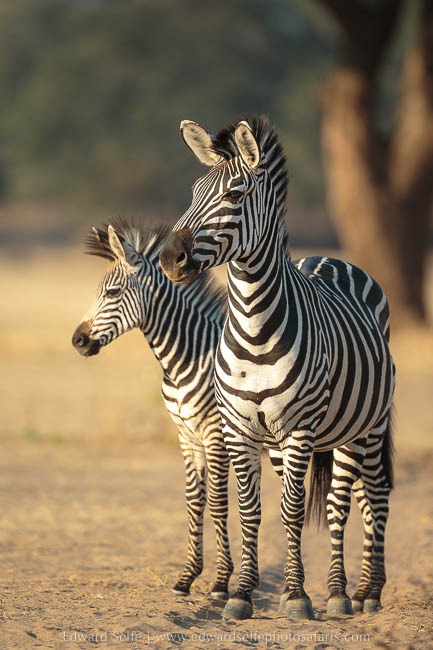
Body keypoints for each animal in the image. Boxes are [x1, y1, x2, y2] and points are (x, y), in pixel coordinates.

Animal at [71, 219, 236, 599]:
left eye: (112, 293)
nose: (78, 341)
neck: (185, 359)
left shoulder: (216, 435)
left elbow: (218, 503)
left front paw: (221, 583)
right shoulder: (186, 436)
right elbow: (194, 501)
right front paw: (187, 577)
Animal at [159, 115, 396, 621]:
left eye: (235, 195)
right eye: (193, 193)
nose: (170, 259)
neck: (253, 326)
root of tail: (331, 258)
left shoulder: (300, 427)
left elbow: (292, 510)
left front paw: (297, 596)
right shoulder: (239, 428)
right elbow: (251, 509)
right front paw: (242, 594)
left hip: (366, 427)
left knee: (362, 500)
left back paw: (356, 593)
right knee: (342, 500)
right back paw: (342, 590)